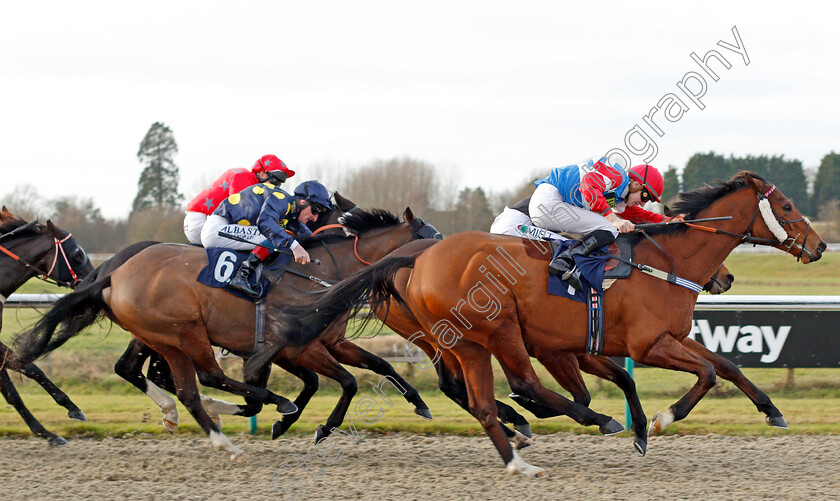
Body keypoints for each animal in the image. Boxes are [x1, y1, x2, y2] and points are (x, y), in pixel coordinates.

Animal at [14, 204, 440, 458]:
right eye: (430, 238)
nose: (444, 263)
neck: (321, 270)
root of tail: (112, 274)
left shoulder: (327, 341)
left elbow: (379, 365)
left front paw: (419, 403)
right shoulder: (295, 347)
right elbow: (344, 382)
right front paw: (314, 425)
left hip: (160, 337)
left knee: (158, 377)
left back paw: (205, 418)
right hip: (184, 332)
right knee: (200, 378)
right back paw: (237, 419)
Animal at [270, 174, 828, 474]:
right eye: (785, 205)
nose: (820, 245)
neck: (667, 259)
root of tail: (416, 257)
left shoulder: (649, 340)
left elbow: (727, 366)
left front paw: (771, 411)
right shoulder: (646, 343)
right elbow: (706, 373)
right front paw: (661, 420)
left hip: (461, 339)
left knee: (477, 392)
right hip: (494, 331)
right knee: (515, 383)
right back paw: (553, 423)